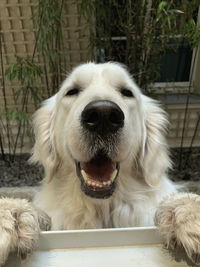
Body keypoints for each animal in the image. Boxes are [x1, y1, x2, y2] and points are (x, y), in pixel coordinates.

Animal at [0, 62, 200, 266]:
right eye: (72, 91)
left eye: (127, 92)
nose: (103, 115)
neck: (101, 210)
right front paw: (11, 214)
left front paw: (189, 213)